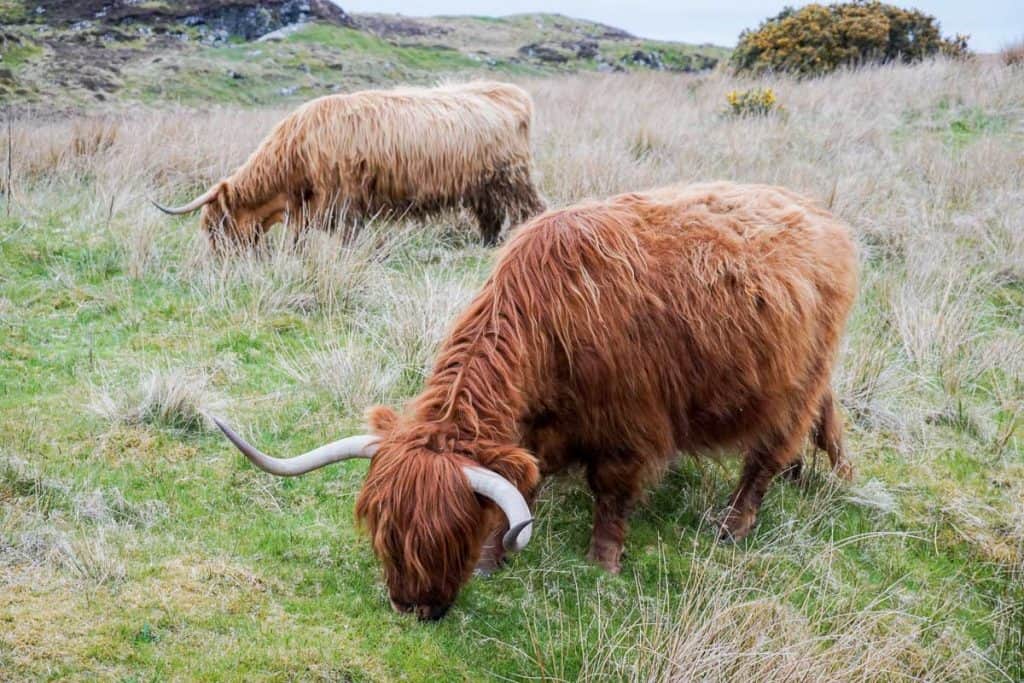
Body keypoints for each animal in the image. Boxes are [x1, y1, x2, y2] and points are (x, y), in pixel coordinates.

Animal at [151, 80, 544, 249]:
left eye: (217, 226)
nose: (220, 261)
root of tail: (509, 91)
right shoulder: (310, 206)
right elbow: (299, 237)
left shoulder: (340, 199)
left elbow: (344, 234)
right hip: (484, 185)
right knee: (490, 214)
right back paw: (487, 243)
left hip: (514, 177)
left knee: (531, 208)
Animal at [214, 180, 856, 618]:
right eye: (383, 532)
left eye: (446, 535)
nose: (411, 608)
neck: (548, 321)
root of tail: (819, 213)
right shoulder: (533, 431)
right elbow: (521, 489)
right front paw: (494, 559)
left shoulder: (627, 428)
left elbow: (610, 496)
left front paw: (602, 564)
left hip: (795, 386)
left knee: (765, 458)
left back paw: (734, 524)